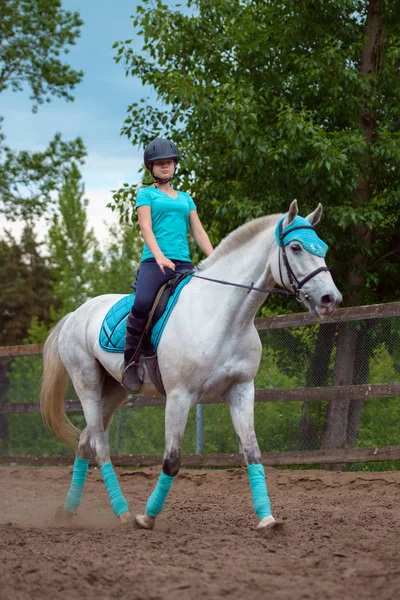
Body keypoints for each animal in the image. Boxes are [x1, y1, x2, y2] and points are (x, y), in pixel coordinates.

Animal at [39, 200, 340, 536]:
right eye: (296, 247)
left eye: (323, 247)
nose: (330, 299)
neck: (225, 316)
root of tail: (76, 313)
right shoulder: (179, 396)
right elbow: (172, 459)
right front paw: (147, 518)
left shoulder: (241, 390)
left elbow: (252, 452)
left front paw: (268, 519)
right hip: (87, 384)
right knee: (100, 446)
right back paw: (124, 514)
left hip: (114, 390)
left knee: (84, 441)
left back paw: (68, 511)